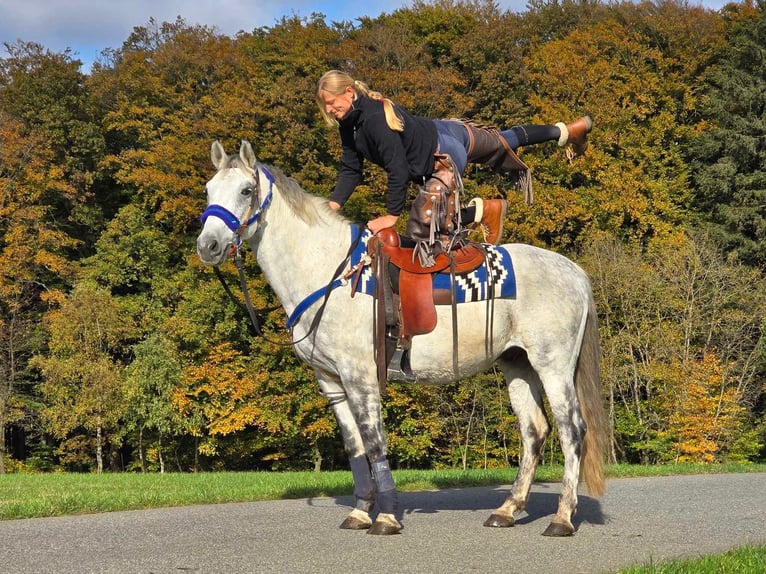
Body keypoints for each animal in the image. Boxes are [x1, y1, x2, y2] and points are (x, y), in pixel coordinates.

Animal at [200, 142, 612, 536]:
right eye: (208, 190)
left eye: (246, 189)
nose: (208, 245)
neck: (331, 273)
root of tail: (574, 271)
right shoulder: (331, 382)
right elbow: (354, 446)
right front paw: (359, 512)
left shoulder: (361, 377)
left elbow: (374, 441)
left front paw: (385, 517)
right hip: (518, 365)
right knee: (534, 431)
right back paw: (507, 510)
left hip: (553, 366)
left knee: (572, 430)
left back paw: (561, 518)